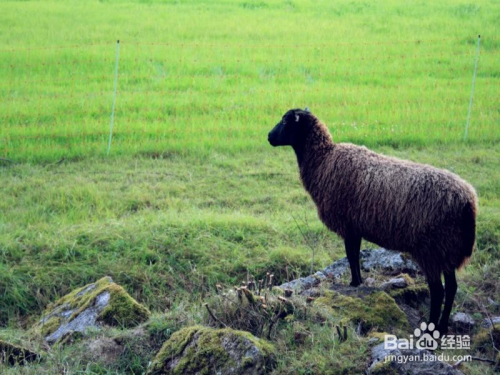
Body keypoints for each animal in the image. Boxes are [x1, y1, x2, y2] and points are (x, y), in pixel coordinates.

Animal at [268, 108, 478, 334]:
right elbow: (355, 256)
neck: (324, 160)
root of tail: (468, 201)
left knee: (438, 291)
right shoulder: (355, 226)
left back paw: (430, 329)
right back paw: (442, 327)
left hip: (431, 249)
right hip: (447, 249)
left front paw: (353, 283)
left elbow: (351, 256)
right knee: (452, 287)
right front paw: (358, 282)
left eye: (285, 121)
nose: (269, 137)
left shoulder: (348, 225)